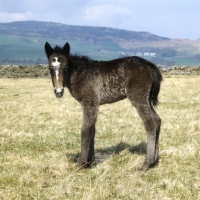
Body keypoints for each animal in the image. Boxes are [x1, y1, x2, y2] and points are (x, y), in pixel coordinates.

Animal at [44, 41, 162, 170]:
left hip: (138, 98)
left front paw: (81, 163)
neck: (80, 74)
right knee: (157, 120)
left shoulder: (90, 102)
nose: (58, 92)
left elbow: (86, 129)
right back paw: (154, 161)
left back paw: (146, 164)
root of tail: (151, 66)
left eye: (66, 68)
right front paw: (89, 161)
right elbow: (92, 128)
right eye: (49, 68)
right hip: (146, 100)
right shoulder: (93, 104)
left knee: (150, 122)